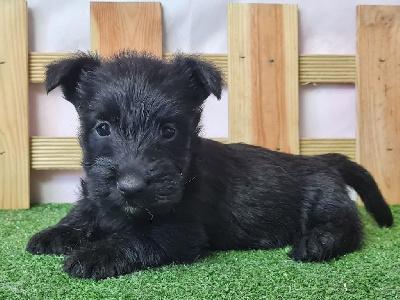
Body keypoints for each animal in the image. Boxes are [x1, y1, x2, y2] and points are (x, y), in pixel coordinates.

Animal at [27, 51, 394, 278]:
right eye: (103, 127)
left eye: (169, 130)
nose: (131, 188)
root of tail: (322, 158)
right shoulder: (98, 196)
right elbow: (86, 210)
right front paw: (56, 233)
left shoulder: (179, 233)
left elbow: (134, 239)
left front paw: (93, 255)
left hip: (327, 202)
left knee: (349, 226)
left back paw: (317, 242)